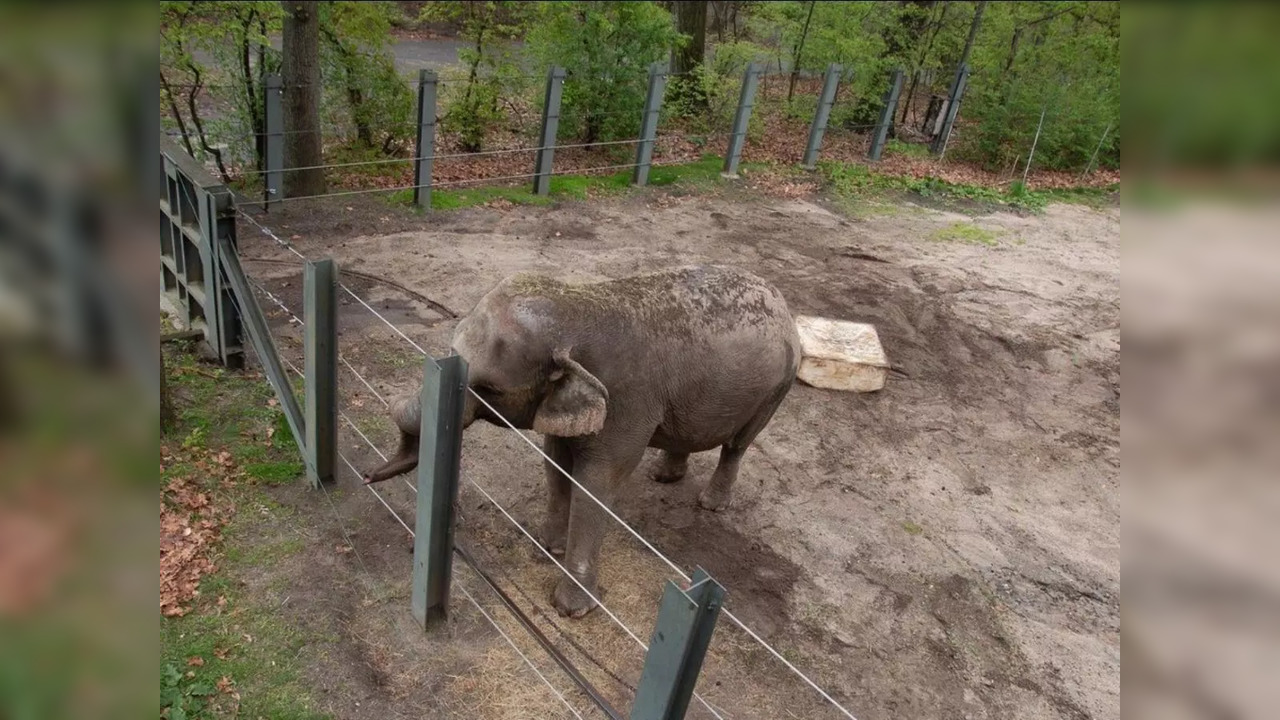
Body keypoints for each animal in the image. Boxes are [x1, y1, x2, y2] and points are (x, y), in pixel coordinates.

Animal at [363, 265, 798, 617]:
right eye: (451, 349)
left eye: (489, 390)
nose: (366, 475)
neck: (575, 306)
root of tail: (779, 298)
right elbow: (555, 462)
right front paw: (547, 548)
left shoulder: (627, 401)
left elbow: (597, 482)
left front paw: (571, 610)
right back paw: (664, 476)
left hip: (777, 387)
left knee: (739, 444)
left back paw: (711, 504)